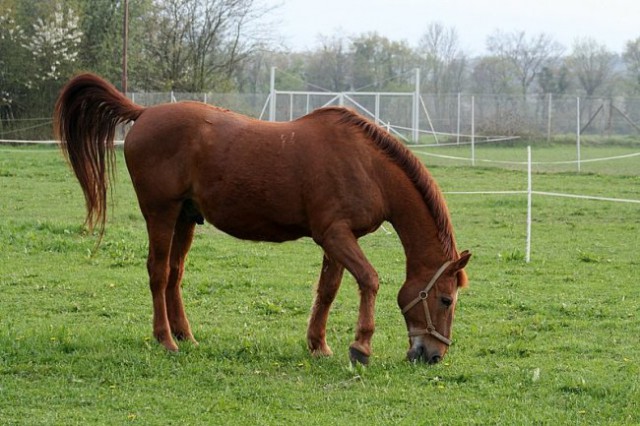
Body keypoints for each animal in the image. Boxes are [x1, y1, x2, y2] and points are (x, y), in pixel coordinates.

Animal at [55, 72, 470, 362]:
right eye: (446, 300)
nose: (434, 355)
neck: (368, 166)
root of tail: (144, 113)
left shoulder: (337, 238)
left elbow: (328, 289)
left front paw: (318, 345)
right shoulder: (335, 235)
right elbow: (369, 280)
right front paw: (361, 346)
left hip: (185, 218)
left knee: (174, 274)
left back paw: (186, 335)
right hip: (161, 212)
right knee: (158, 272)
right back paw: (166, 339)